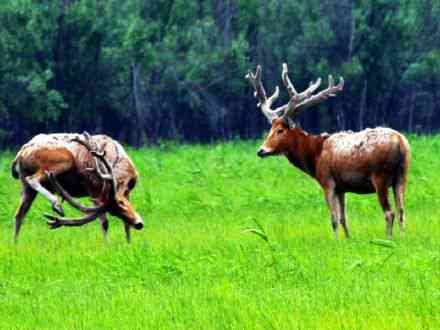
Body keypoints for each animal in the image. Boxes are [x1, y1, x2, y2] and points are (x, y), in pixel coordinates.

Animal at [11, 131, 143, 242]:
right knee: (32, 179)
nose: (139, 224)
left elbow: (126, 225)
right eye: (120, 203)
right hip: (63, 159)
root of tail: (20, 155)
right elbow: (104, 222)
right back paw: (57, 205)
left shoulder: (126, 192)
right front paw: (107, 246)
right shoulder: (93, 188)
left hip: (24, 182)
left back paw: (15, 244)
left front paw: (129, 243)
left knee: (19, 214)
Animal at [246, 64, 410, 238]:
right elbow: (344, 218)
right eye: (270, 128)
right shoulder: (341, 187)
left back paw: (389, 238)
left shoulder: (327, 181)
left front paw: (336, 240)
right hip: (402, 176)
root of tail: (400, 142)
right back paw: (402, 238)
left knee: (389, 213)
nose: (261, 150)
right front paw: (348, 239)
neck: (314, 155)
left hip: (380, 177)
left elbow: (334, 219)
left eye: (280, 130)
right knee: (401, 211)